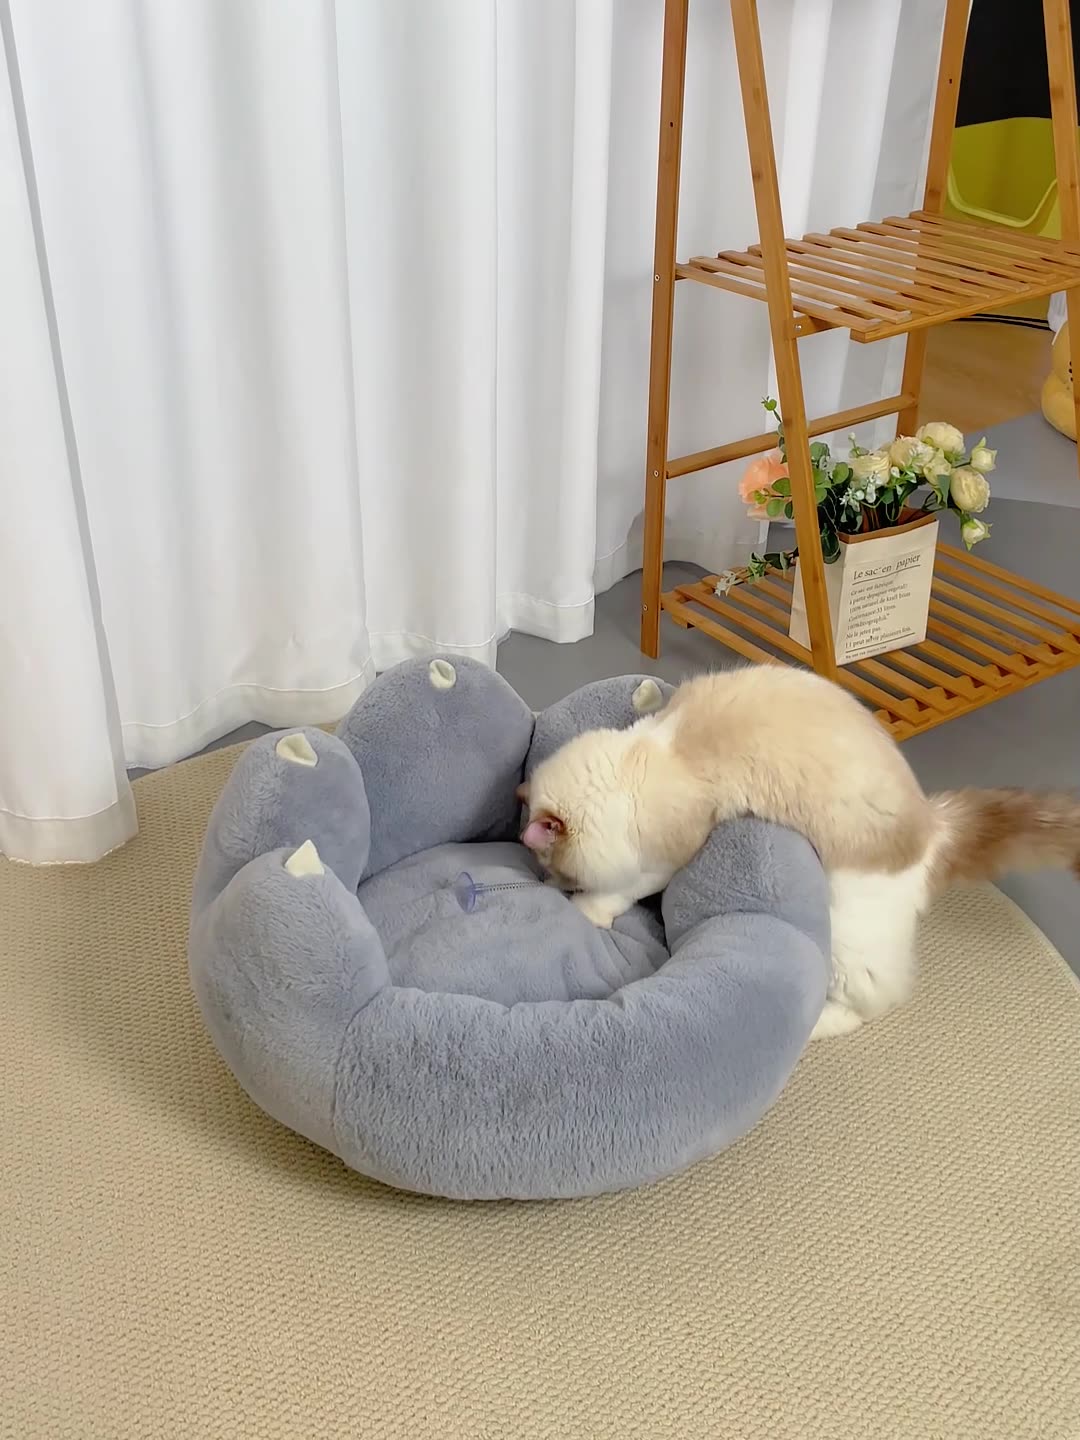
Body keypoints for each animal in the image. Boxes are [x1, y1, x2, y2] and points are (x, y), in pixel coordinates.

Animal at [518, 666, 1080, 1041]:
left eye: (552, 865)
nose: (546, 878)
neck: (650, 756)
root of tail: (933, 827)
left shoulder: (661, 858)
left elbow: (620, 890)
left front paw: (583, 906)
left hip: (845, 931)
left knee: (867, 1001)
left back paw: (813, 1026)